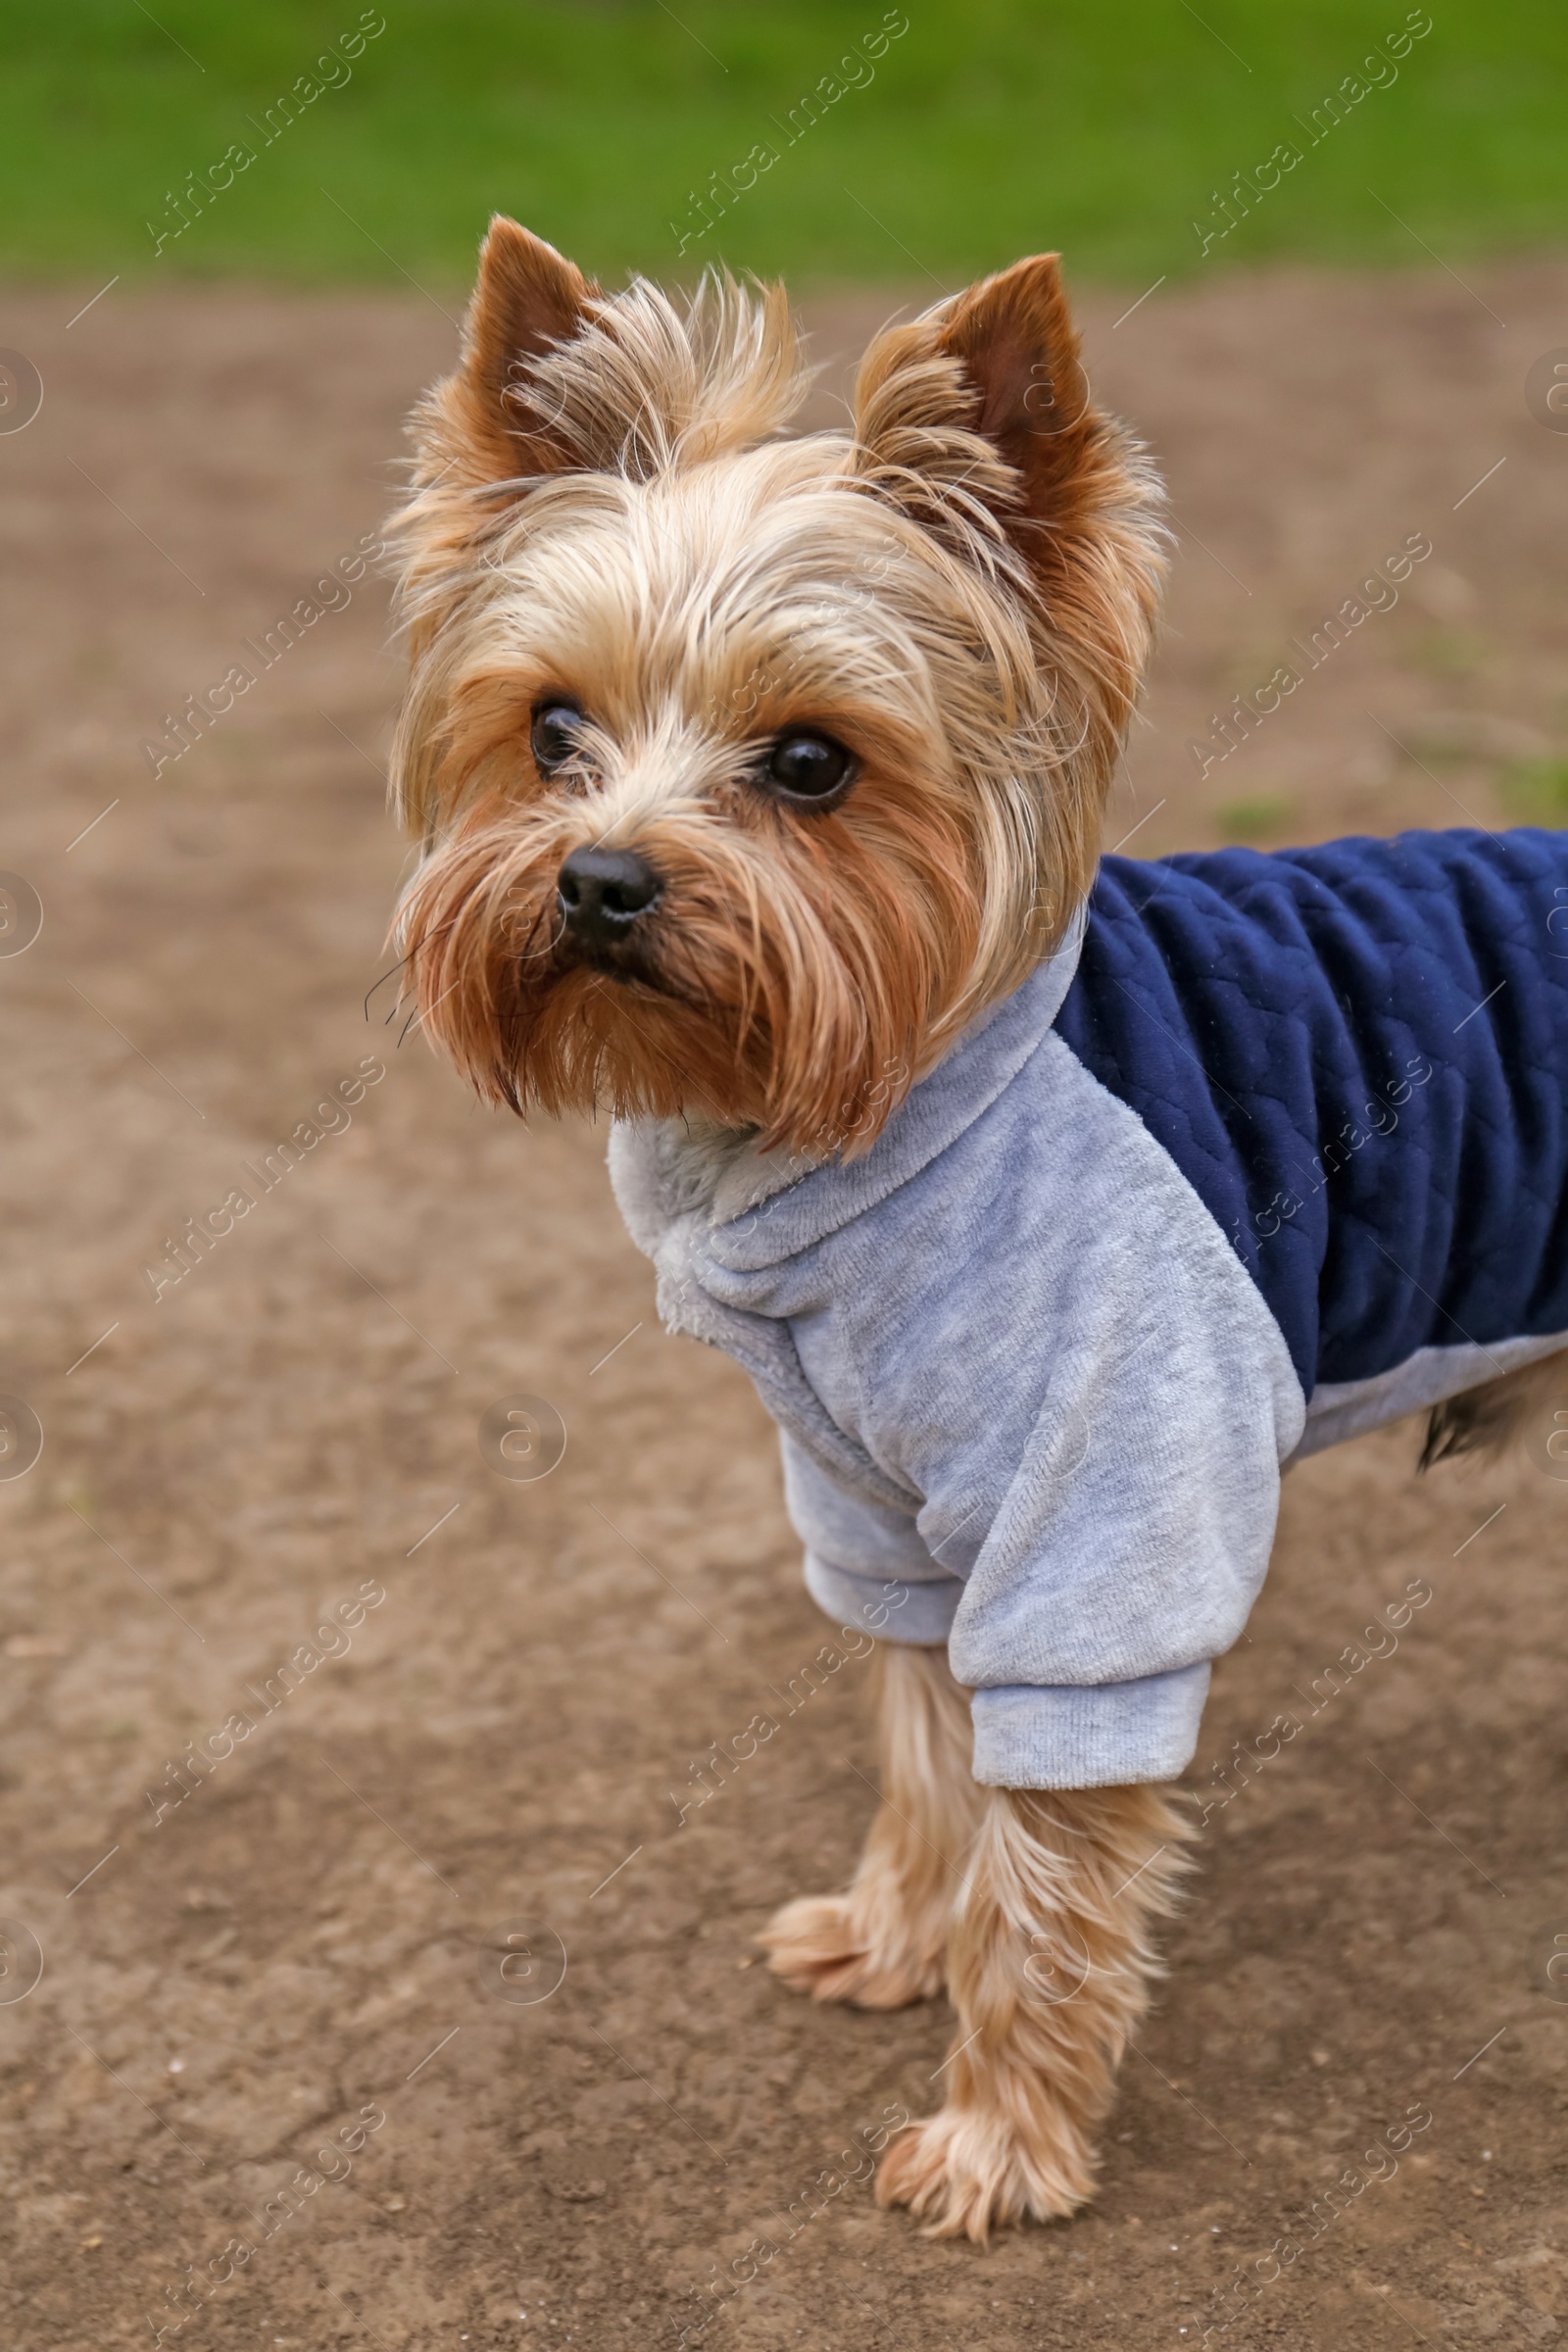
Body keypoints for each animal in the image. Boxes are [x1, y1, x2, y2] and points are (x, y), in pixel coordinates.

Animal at [385, 220, 1568, 2238]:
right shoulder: (889, 1508)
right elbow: (926, 1755)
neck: (856, 1121)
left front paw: (1004, 2142)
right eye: (550, 732)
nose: (600, 880)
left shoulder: (1096, 1517)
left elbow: (1052, 1862)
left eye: (810, 765)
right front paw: (893, 1941)